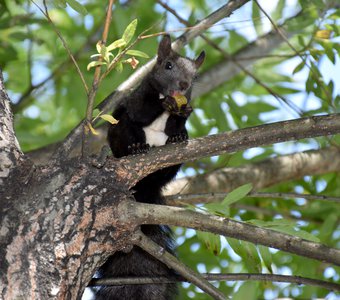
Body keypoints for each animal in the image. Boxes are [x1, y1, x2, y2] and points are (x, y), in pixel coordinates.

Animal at [94, 35, 205, 300]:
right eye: (167, 65)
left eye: (195, 76)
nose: (184, 84)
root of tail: (144, 188)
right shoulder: (137, 101)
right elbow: (141, 112)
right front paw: (164, 103)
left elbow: (177, 123)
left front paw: (182, 115)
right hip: (120, 129)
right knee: (128, 130)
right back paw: (135, 148)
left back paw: (176, 142)